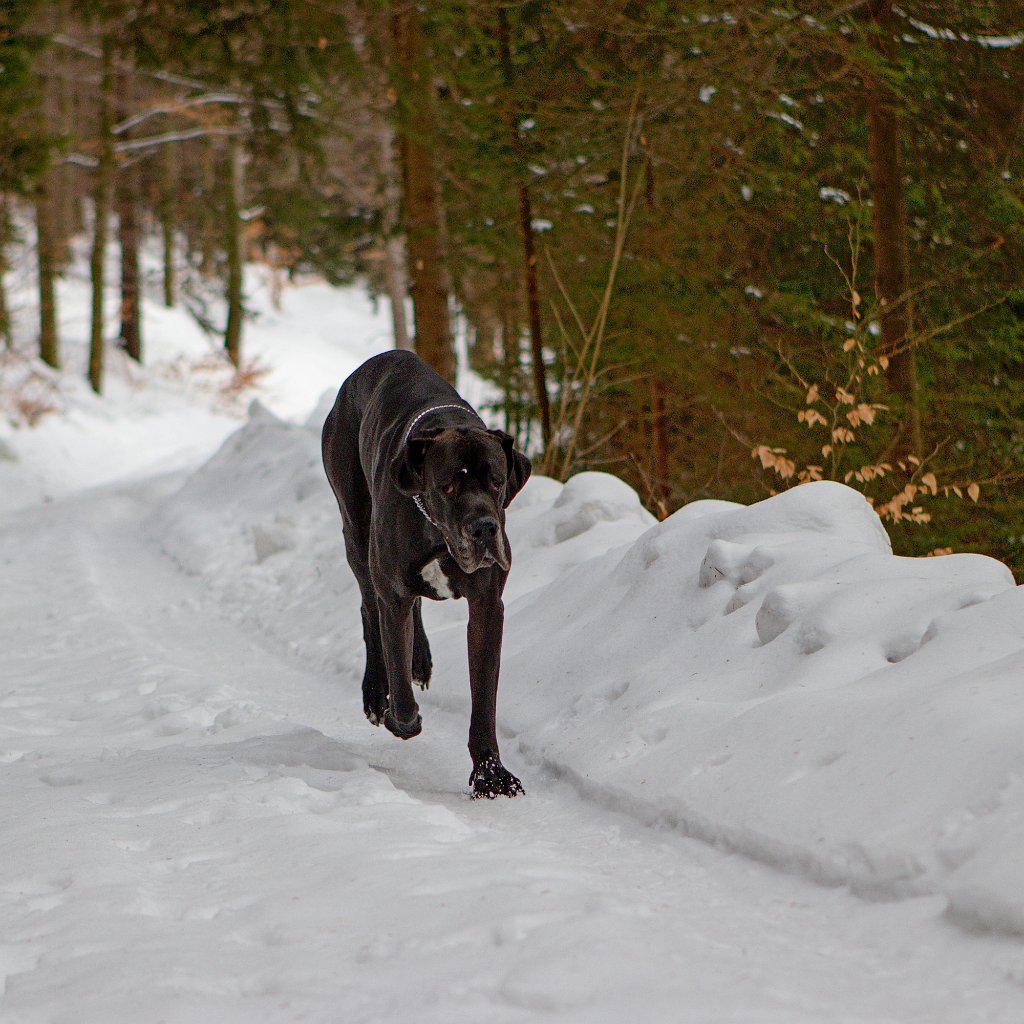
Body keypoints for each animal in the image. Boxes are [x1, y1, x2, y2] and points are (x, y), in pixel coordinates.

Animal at [321, 352, 532, 798]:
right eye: (448, 487)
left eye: (497, 482)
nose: (484, 528)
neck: (437, 533)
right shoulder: (393, 594)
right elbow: (397, 676)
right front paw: (399, 717)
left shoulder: (487, 606)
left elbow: (483, 698)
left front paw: (490, 775)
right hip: (356, 534)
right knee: (369, 610)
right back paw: (375, 693)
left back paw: (420, 661)